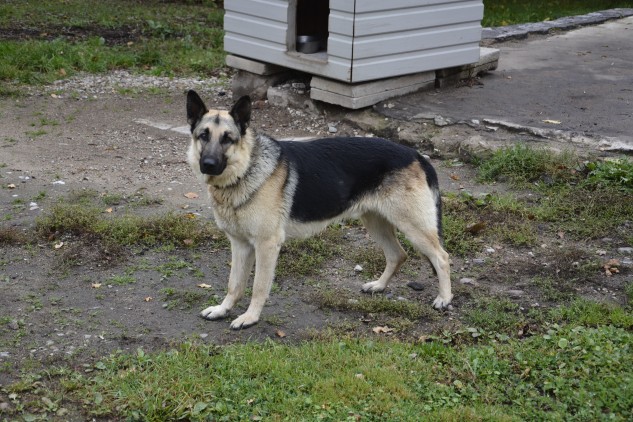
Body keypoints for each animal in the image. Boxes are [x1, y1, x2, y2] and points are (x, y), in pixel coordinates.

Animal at [186, 90, 452, 329]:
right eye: (203, 136)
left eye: (227, 139)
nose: (208, 164)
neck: (245, 170)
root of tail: (416, 154)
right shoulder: (240, 245)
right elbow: (234, 284)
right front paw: (222, 309)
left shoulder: (266, 245)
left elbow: (258, 287)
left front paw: (249, 318)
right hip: (376, 223)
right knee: (398, 255)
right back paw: (379, 286)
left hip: (413, 227)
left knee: (442, 257)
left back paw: (444, 298)